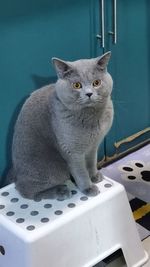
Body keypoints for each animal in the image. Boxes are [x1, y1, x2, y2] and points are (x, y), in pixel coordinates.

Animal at [8, 51, 113, 201]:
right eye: (77, 85)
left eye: (96, 83)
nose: (89, 93)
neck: (91, 116)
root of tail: (16, 174)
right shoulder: (72, 151)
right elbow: (80, 172)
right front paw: (88, 188)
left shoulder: (94, 146)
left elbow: (91, 162)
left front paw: (94, 176)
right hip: (53, 171)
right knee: (26, 191)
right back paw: (60, 191)